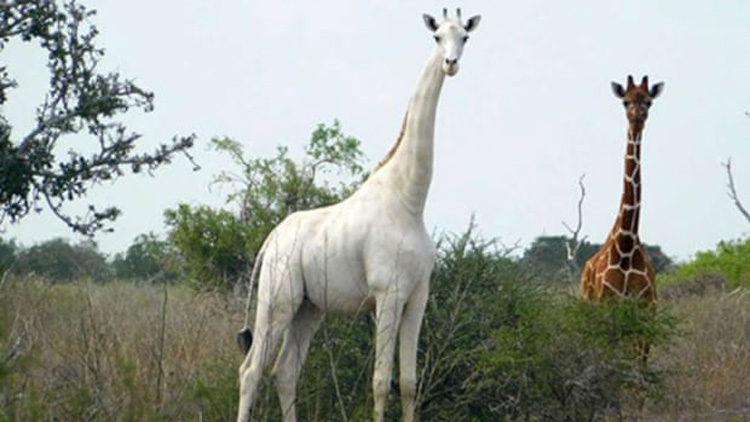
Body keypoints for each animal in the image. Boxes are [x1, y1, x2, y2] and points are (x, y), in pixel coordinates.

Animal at [235, 9, 481, 422]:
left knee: (285, 370)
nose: (451, 64)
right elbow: (381, 381)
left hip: (310, 308)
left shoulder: (418, 296)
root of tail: (270, 240)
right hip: (278, 299)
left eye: (464, 37)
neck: (410, 201)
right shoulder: (387, 293)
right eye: (436, 38)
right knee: (251, 369)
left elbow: (409, 383)